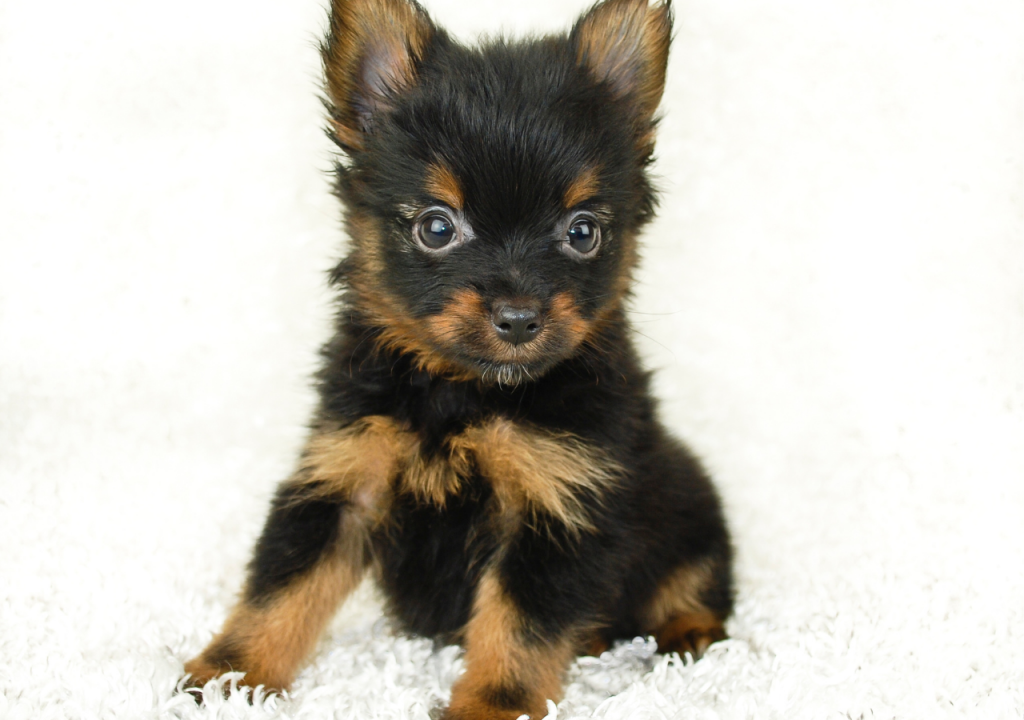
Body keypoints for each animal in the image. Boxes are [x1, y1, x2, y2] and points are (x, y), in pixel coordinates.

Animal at [182, 1, 729, 716]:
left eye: (582, 233)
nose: (519, 318)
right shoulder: (343, 476)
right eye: (437, 228)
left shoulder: (559, 503)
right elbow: (282, 586)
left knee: (695, 581)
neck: (462, 391)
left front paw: (492, 703)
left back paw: (687, 629)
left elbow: (518, 628)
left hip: (691, 500)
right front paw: (232, 672)